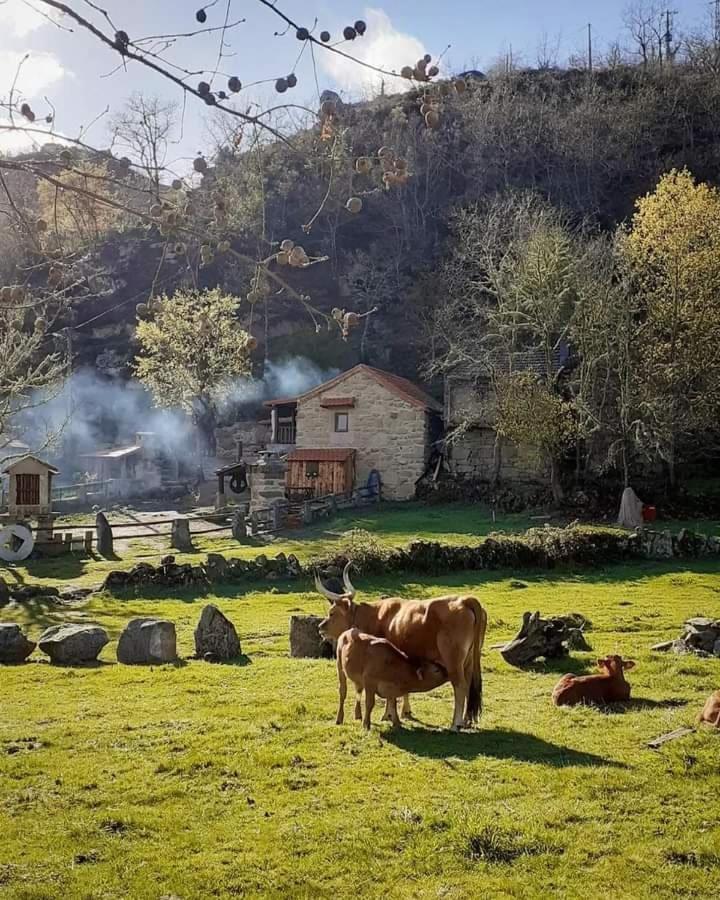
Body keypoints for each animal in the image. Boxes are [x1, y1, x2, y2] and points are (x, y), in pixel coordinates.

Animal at [316, 564, 490, 732]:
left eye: (332, 613)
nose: (320, 627)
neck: (376, 616)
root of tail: (465, 600)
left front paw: (388, 714)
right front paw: (403, 712)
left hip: (453, 661)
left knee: (460, 687)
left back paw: (456, 724)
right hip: (469, 661)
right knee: (469, 685)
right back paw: (466, 721)